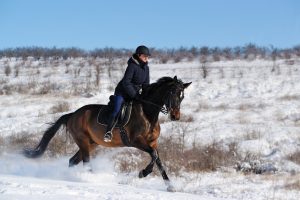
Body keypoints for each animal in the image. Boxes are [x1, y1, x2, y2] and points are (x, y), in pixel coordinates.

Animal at [24, 75, 192, 191]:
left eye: (182, 96)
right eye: (172, 93)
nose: (175, 116)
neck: (148, 113)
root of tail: (72, 115)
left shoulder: (152, 142)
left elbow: (158, 160)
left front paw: (170, 186)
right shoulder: (136, 141)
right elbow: (154, 156)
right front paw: (143, 173)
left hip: (91, 144)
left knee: (72, 161)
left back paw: (71, 177)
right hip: (83, 141)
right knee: (85, 162)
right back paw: (89, 179)